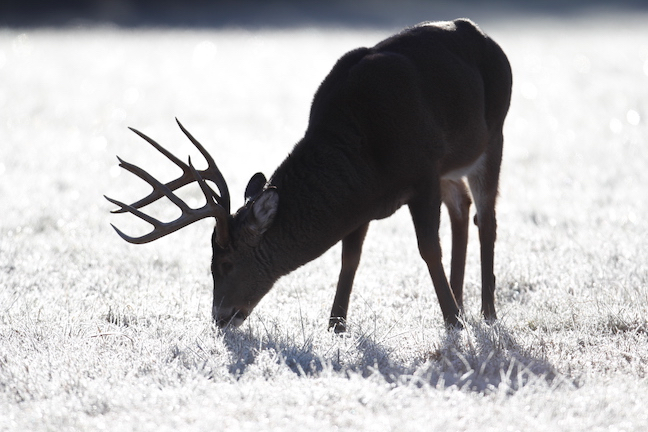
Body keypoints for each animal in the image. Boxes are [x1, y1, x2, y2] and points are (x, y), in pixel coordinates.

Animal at [105, 18, 512, 332]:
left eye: (225, 264)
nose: (220, 317)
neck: (364, 158)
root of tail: (486, 37)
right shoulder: (365, 202)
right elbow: (351, 256)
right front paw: (336, 324)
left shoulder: (423, 171)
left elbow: (428, 248)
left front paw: (452, 323)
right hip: (453, 165)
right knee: (462, 206)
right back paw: (462, 301)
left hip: (494, 134)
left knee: (486, 217)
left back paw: (485, 312)